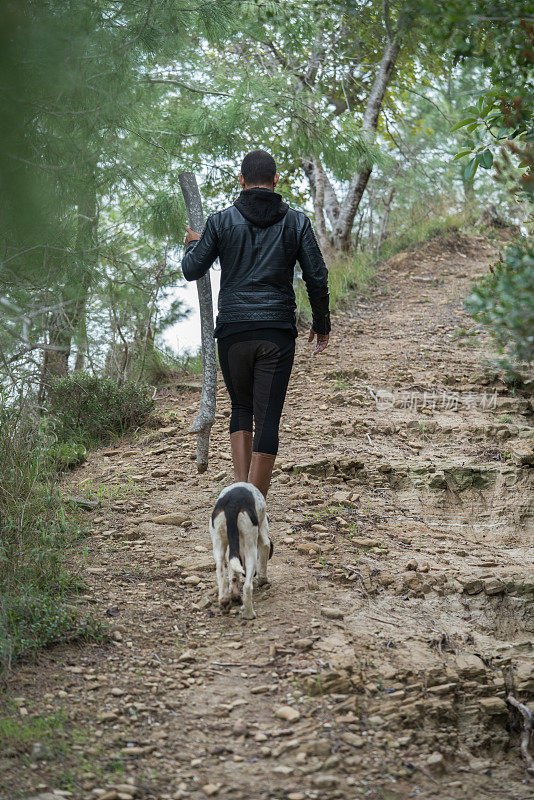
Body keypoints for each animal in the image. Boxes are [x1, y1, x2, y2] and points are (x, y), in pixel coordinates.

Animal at [210, 482, 274, 620]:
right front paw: (264, 580)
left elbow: (233, 574)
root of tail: (232, 503)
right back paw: (249, 614)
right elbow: (264, 558)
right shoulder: (263, 537)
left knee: (221, 571)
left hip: (218, 542)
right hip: (251, 548)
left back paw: (224, 601)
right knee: (248, 586)